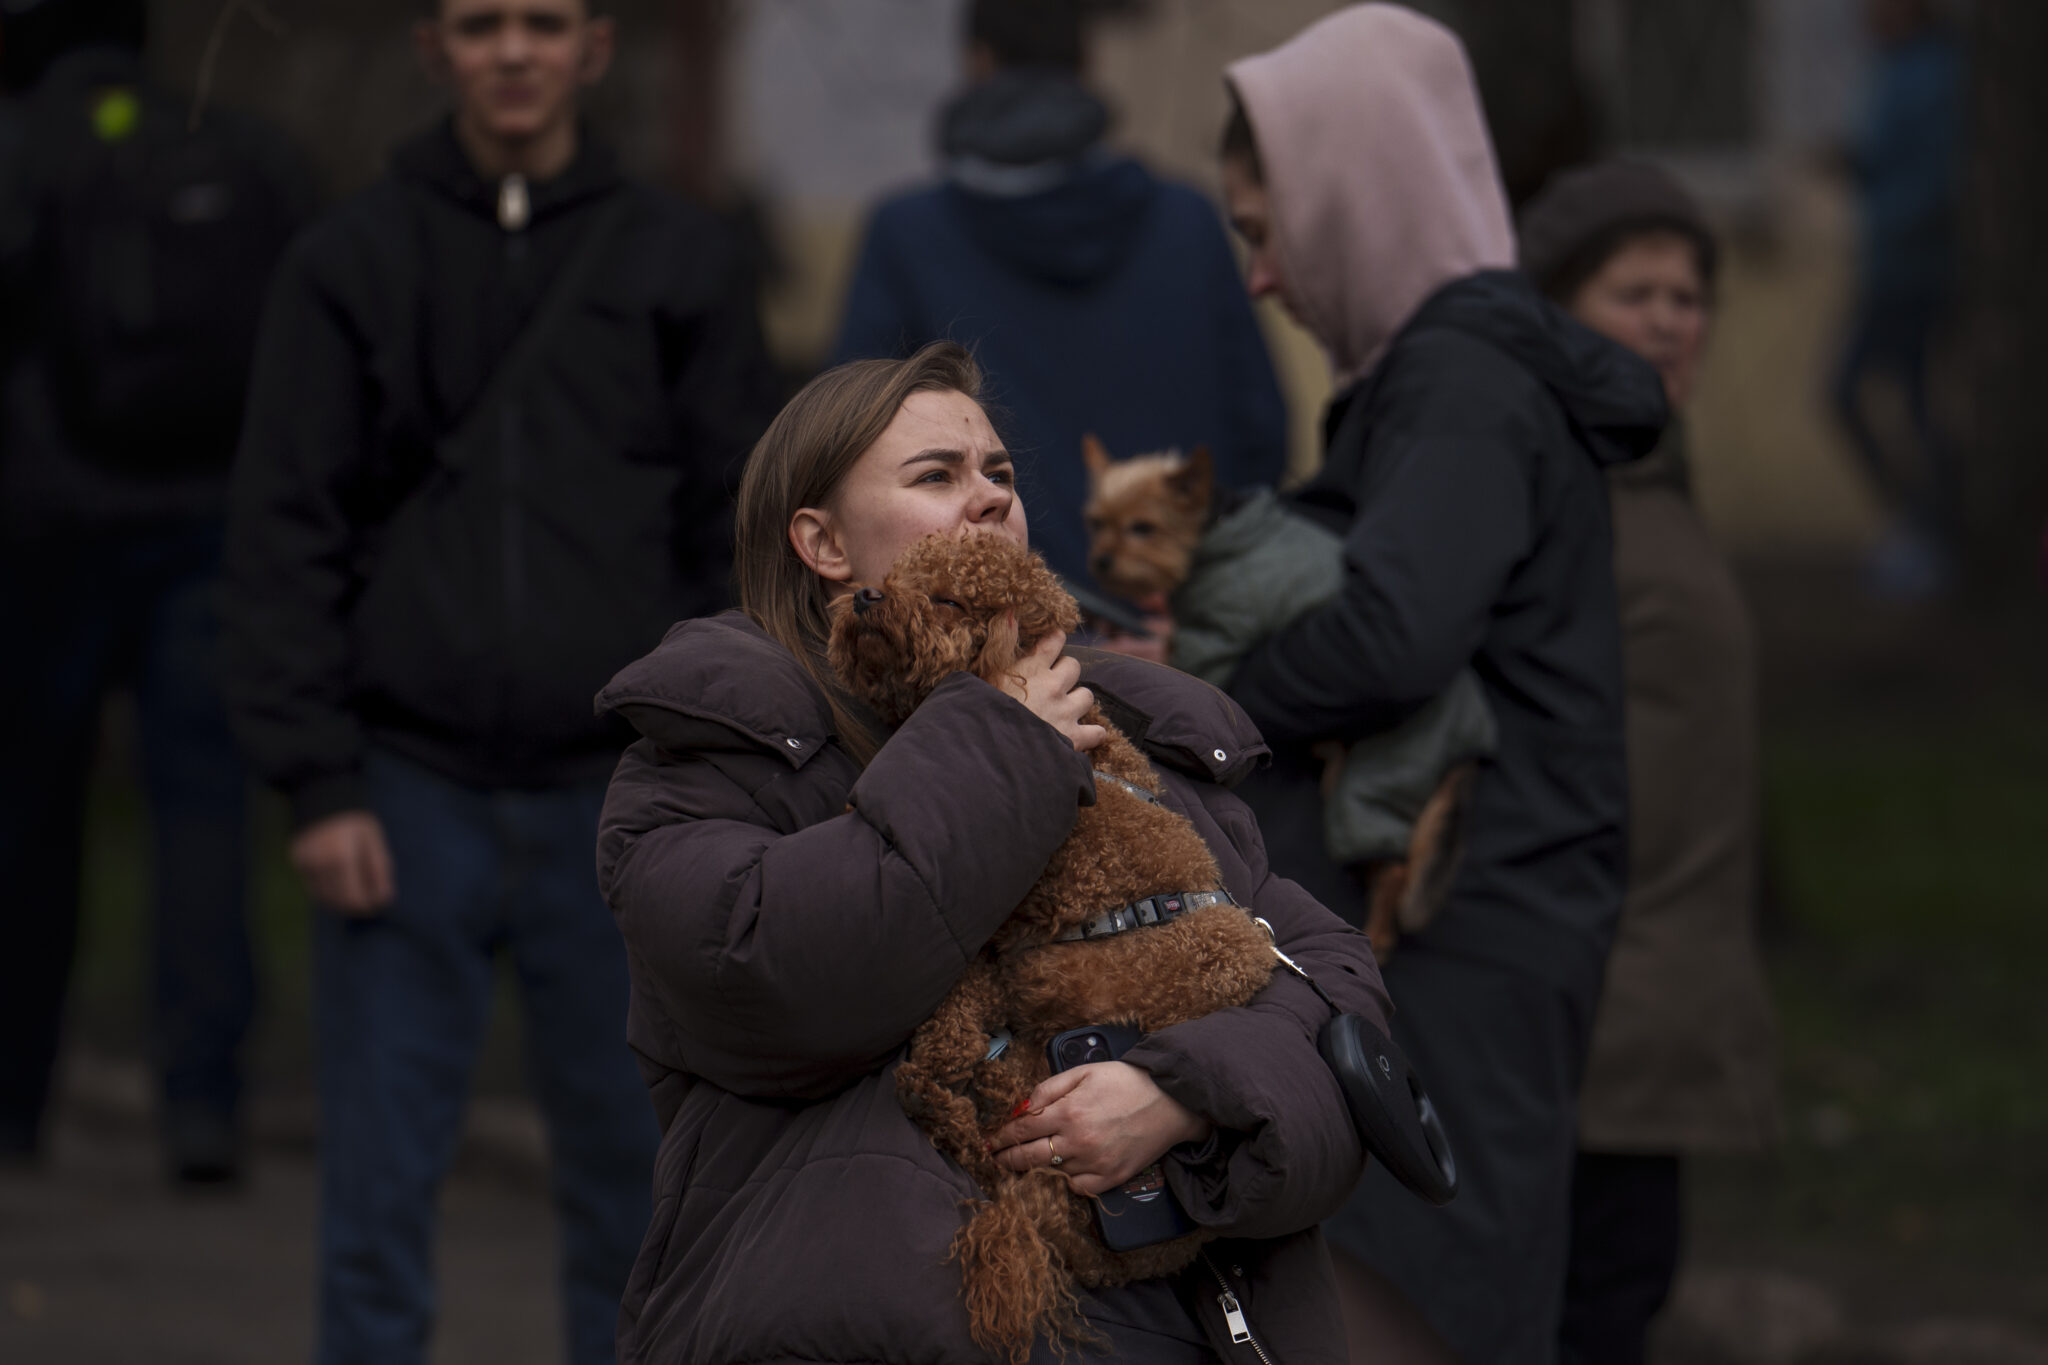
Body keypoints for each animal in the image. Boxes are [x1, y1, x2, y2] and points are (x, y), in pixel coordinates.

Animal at [823, 532, 1269, 1365]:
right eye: (896, 573)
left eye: (948, 600)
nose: (867, 596)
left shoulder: (1000, 934)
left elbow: (950, 1024)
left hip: (1030, 1071)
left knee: (959, 1089)